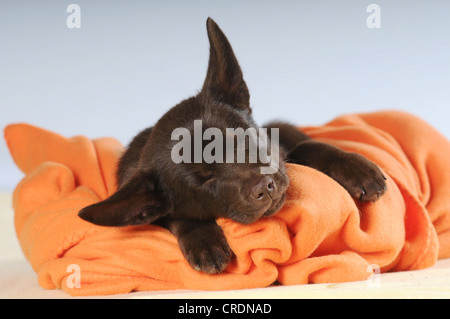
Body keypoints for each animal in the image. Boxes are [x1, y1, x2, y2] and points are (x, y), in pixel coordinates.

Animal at [78, 18, 386, 276]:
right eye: (204, 180)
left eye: (242, 139)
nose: (265, 187)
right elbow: (176, 217)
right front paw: (203, 240)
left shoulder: (280, 150)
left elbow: (308, 147)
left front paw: (357, 168)